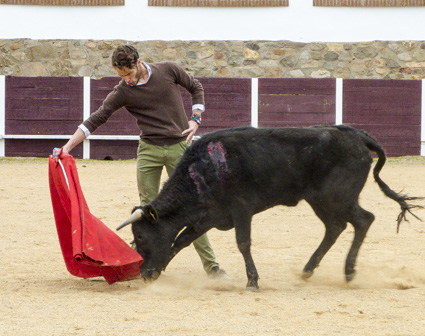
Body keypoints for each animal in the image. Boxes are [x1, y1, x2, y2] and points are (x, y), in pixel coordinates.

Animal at [115, 124, 420, 290]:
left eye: (140, 235)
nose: (144, 272)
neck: (203, 170)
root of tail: (357, 135)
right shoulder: (209, 216)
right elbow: (181, 241)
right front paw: (159, 270)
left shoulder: (241, 210)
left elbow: (243, 243)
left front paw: (252, 282)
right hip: (320, 200)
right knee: (336, 227)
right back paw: (308, 270)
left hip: (337, 197)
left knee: (363, 220)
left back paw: (348, 272)